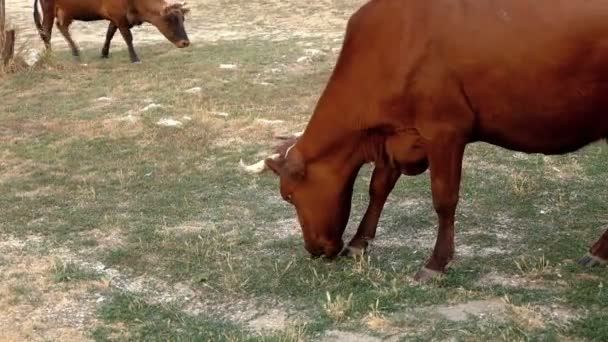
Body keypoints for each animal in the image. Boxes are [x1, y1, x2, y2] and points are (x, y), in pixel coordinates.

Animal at [33, 0, 189, 62]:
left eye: (183, 19)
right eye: (169, 20)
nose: (185, 43)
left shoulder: (115, 19)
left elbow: (109, 34)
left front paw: (104, 53)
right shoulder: (119, 18)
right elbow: (127, 37)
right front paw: (134, 58)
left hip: (66, 12)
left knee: (61, 27)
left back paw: (76, 52)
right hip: (48, 10)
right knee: (46, 32)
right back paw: (50, 55)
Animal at [264, 0, 608, 280]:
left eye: (289, 196)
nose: (313, 250)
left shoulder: (444, 131)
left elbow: (444, 200)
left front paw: (436, 263)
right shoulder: (396, 136)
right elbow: (378, 188)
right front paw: (359, 242)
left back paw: (598, 252)